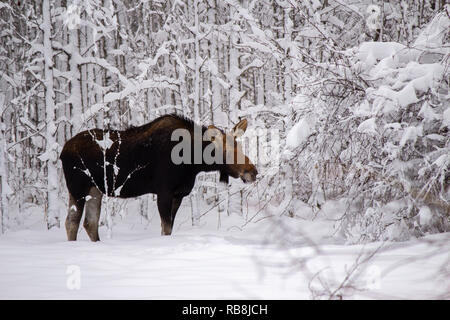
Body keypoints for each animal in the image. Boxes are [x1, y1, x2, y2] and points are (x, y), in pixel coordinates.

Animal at [59, 114, 256, 241]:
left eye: (239, 146)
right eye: (226, 151)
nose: (253, 171)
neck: (193, 162)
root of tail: (62, 151)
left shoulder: (178, 194)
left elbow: (168, 228)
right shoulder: (164, 192)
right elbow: (166, 228)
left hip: (95, 190)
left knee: (89, 223)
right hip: (77, 189)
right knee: (72, 222)